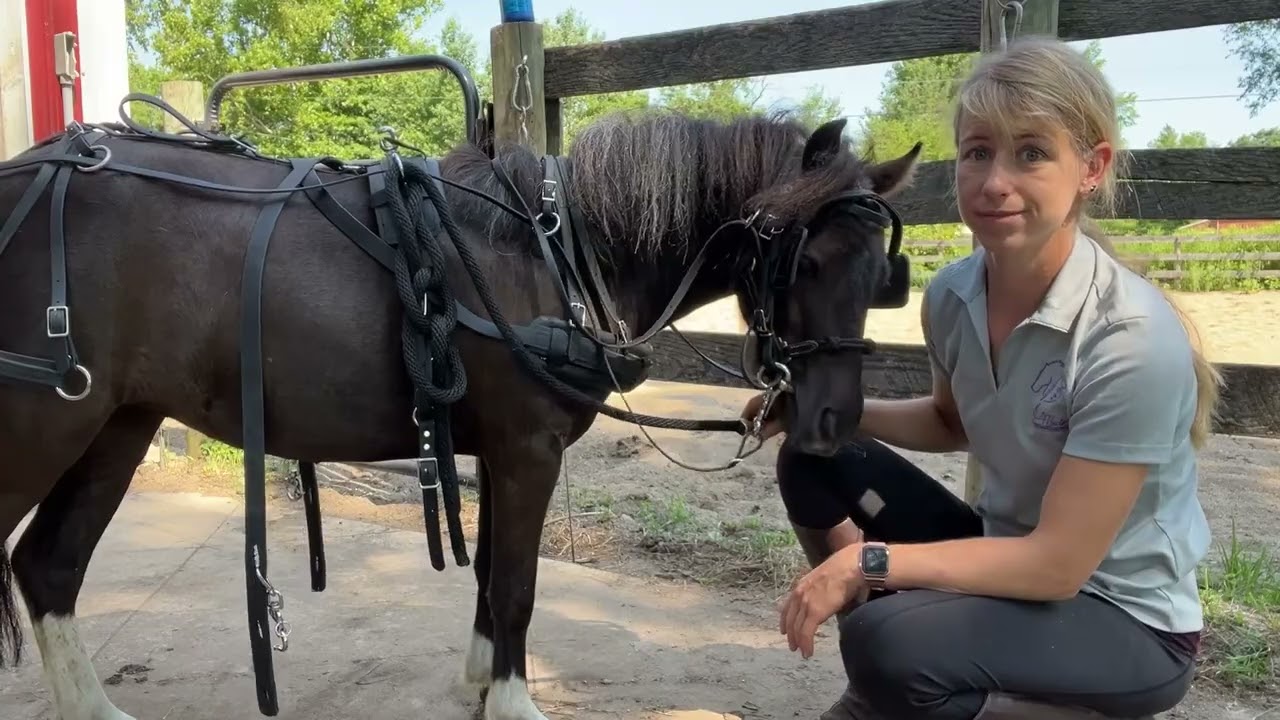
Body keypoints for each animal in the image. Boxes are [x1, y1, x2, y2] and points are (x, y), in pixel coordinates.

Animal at [0, 88, 922, 720]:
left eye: (883, 273)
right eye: (804, 262)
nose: (834, 423)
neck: (555, 251)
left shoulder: (496, 452)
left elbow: (488, 575)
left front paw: (480, 682)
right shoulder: (527, 449)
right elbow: (515, 584)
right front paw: (513, 700)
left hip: (118, 422)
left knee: (48, 567)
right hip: (48, 424)